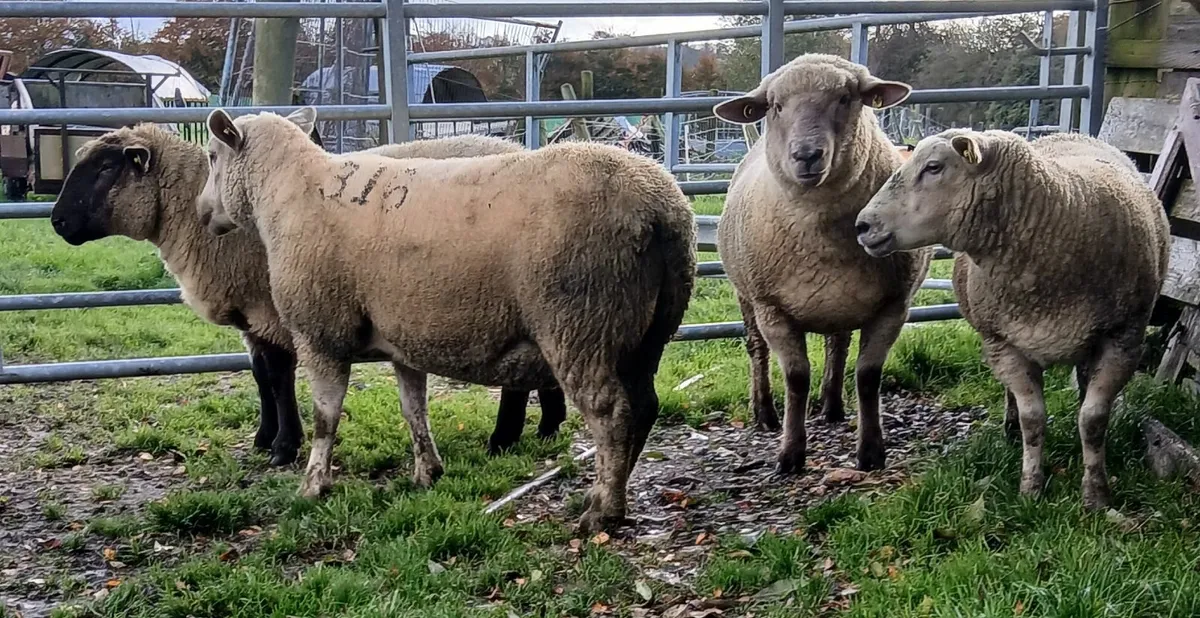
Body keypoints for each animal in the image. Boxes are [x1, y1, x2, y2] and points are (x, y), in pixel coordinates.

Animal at [49, 125, 567, 467]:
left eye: (105, 168)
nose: (56, 221)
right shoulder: (252, 316)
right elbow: (261, 376)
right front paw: (264, 437)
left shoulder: (277, 310)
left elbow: (279, 377)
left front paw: (284, 446)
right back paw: (547, 425)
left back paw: (504, 438)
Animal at [197, 107, 696, 533]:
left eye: (212, 155)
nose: (203, 214)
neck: (288, 193)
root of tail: (663, 209)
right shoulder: (402, 339)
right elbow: (413, 408)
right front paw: (427, 472)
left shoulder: (321, 332)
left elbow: (326, 417)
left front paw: (313, 484)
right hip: (648, 332)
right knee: (644, 407)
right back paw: (614, 492)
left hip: (582, 321)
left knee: (612, 413)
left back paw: (602, 510)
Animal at [711, 54, 932, 474]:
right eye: (776, 106)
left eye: (846, 98)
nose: (806, 155)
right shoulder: (772, 310)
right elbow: (796, 379)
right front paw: (790, 454)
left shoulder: (893, 306)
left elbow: (868, 376)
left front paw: (871, 451)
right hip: (745, 295)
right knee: (756, 350)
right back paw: (764, 413)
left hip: (841, 303)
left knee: (837, 345)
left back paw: (831, 406)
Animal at [854, 129, 1170, 509]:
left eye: (933, 167)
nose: (862, 225)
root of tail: (1066, 132)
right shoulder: (1003, 344)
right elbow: (1033, 419)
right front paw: (1031, 488)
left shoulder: (1124, 337)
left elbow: (1093, 419)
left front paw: (1096, 494)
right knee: (1016, 397)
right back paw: (1011, 426)